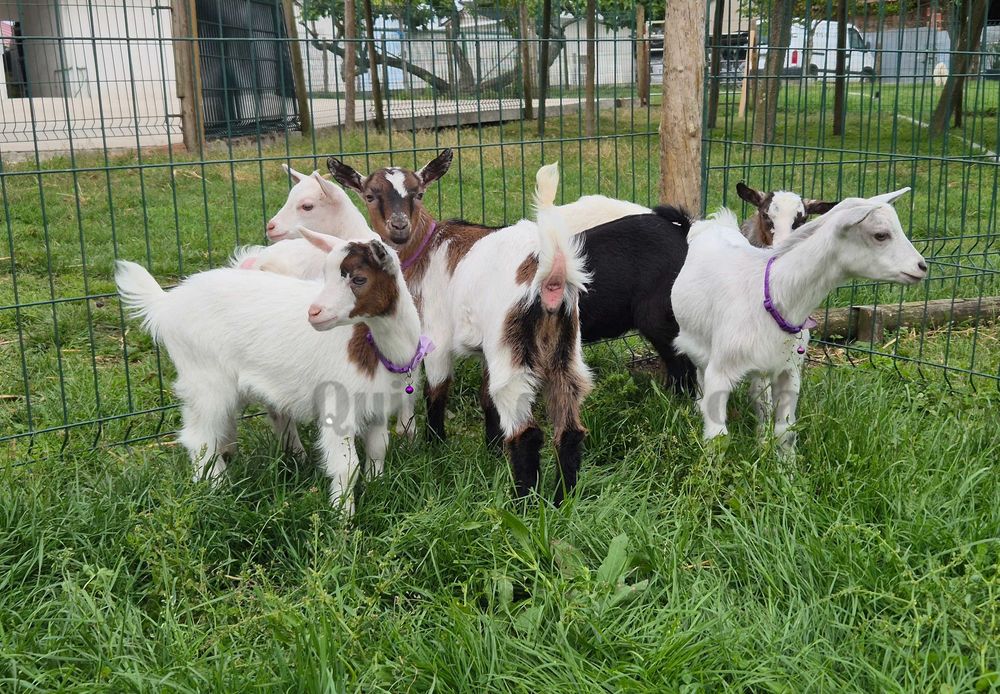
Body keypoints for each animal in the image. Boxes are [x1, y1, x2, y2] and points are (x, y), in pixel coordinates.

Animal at [116, 232, 426, 514]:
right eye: (325, 275)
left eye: (358, 279)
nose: (314, 312)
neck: (378, 347)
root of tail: (166, 304)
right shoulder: (338, 405)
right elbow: (346, 467)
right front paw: (343, 520)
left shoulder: (377, 406)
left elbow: (378, 449)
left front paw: (379, 487)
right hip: (204, 378)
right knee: (199, 437)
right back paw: (217, 489)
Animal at [330, 153, 592, 502]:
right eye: (370, 195)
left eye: (419, 193)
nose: (399, 227)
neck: (425, 249)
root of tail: (552, 273)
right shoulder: (485, 349)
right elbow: (485, 398)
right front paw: (492, 450)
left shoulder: (436, 335)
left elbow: (436, 390)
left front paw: (435, 446)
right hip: (564, 347)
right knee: (570, 426)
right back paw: (565, 499)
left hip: (511, 344)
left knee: (526, 430)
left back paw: (523, 501)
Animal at [671, 188, 927, 451]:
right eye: (881, 235)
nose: (922, 267)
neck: (774, 294)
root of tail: (716, 223)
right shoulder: (721, 369)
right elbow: (718, 437)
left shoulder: (790, 370)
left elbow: (786, 431)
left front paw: (785, 461)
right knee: (701, 374)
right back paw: (698, 408)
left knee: (760, 395)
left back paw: (761, 440)